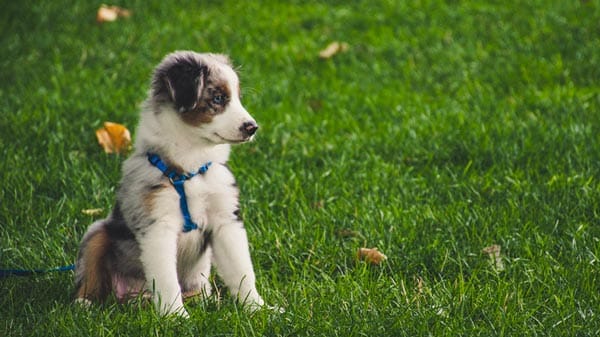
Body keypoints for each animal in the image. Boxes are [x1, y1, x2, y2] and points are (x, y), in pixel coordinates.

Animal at [75, 51, 268, 316]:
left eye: (238, 98)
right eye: (218, 98)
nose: (252, 128)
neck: (190, 168)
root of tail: (133, 296)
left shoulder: (226, 220)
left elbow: (242, 270)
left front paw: (260, 309)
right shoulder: (158, 226)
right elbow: (166, 279)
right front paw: (176, 316)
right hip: (98, 232)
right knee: (90, 272)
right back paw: (85, 303)